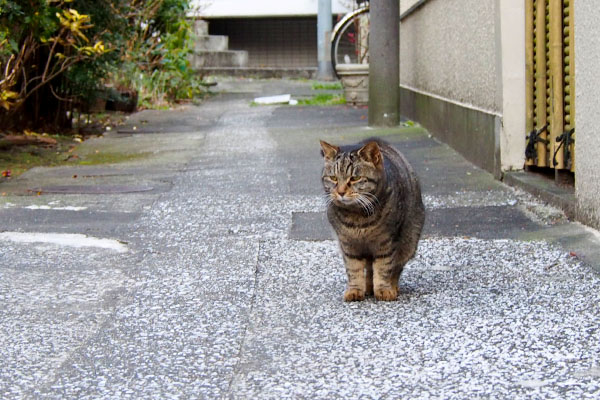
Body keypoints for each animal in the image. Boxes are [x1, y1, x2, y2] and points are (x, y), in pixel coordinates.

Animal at [318, 139, 426, 302]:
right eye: (334, 178)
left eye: (354, 178)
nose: (341, 192)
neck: (358, 218)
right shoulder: (347, 244)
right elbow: (354, 269)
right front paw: (355, 290)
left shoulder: (387, 242)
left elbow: (383, 267)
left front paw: (384, 290)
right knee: (369, 269)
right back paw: (368, 287)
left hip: (409, 242)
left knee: (395, 268)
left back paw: (391, 287)